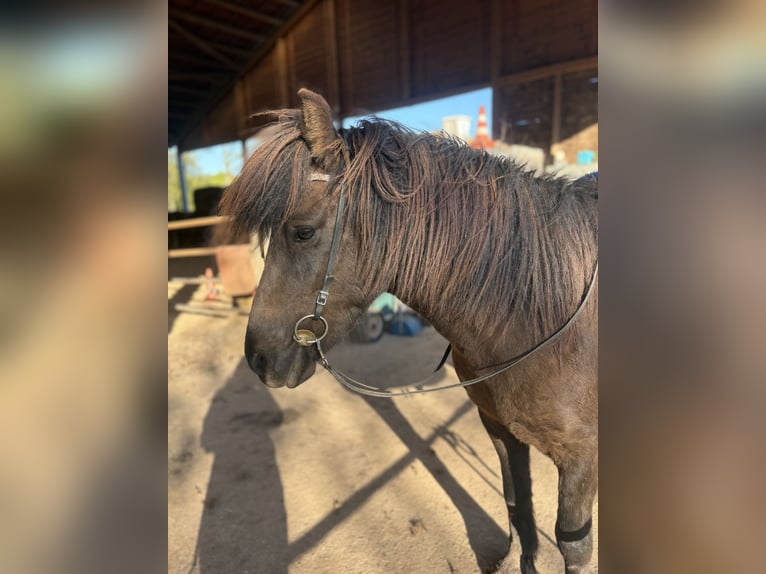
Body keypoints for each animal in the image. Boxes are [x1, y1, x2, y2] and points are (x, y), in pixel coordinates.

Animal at [219, 89, 598, 574]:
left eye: (303, 232)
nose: (258, 358)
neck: (538, 316)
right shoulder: (500, 429)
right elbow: (519, 507)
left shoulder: (581, 460)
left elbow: (574, 545)